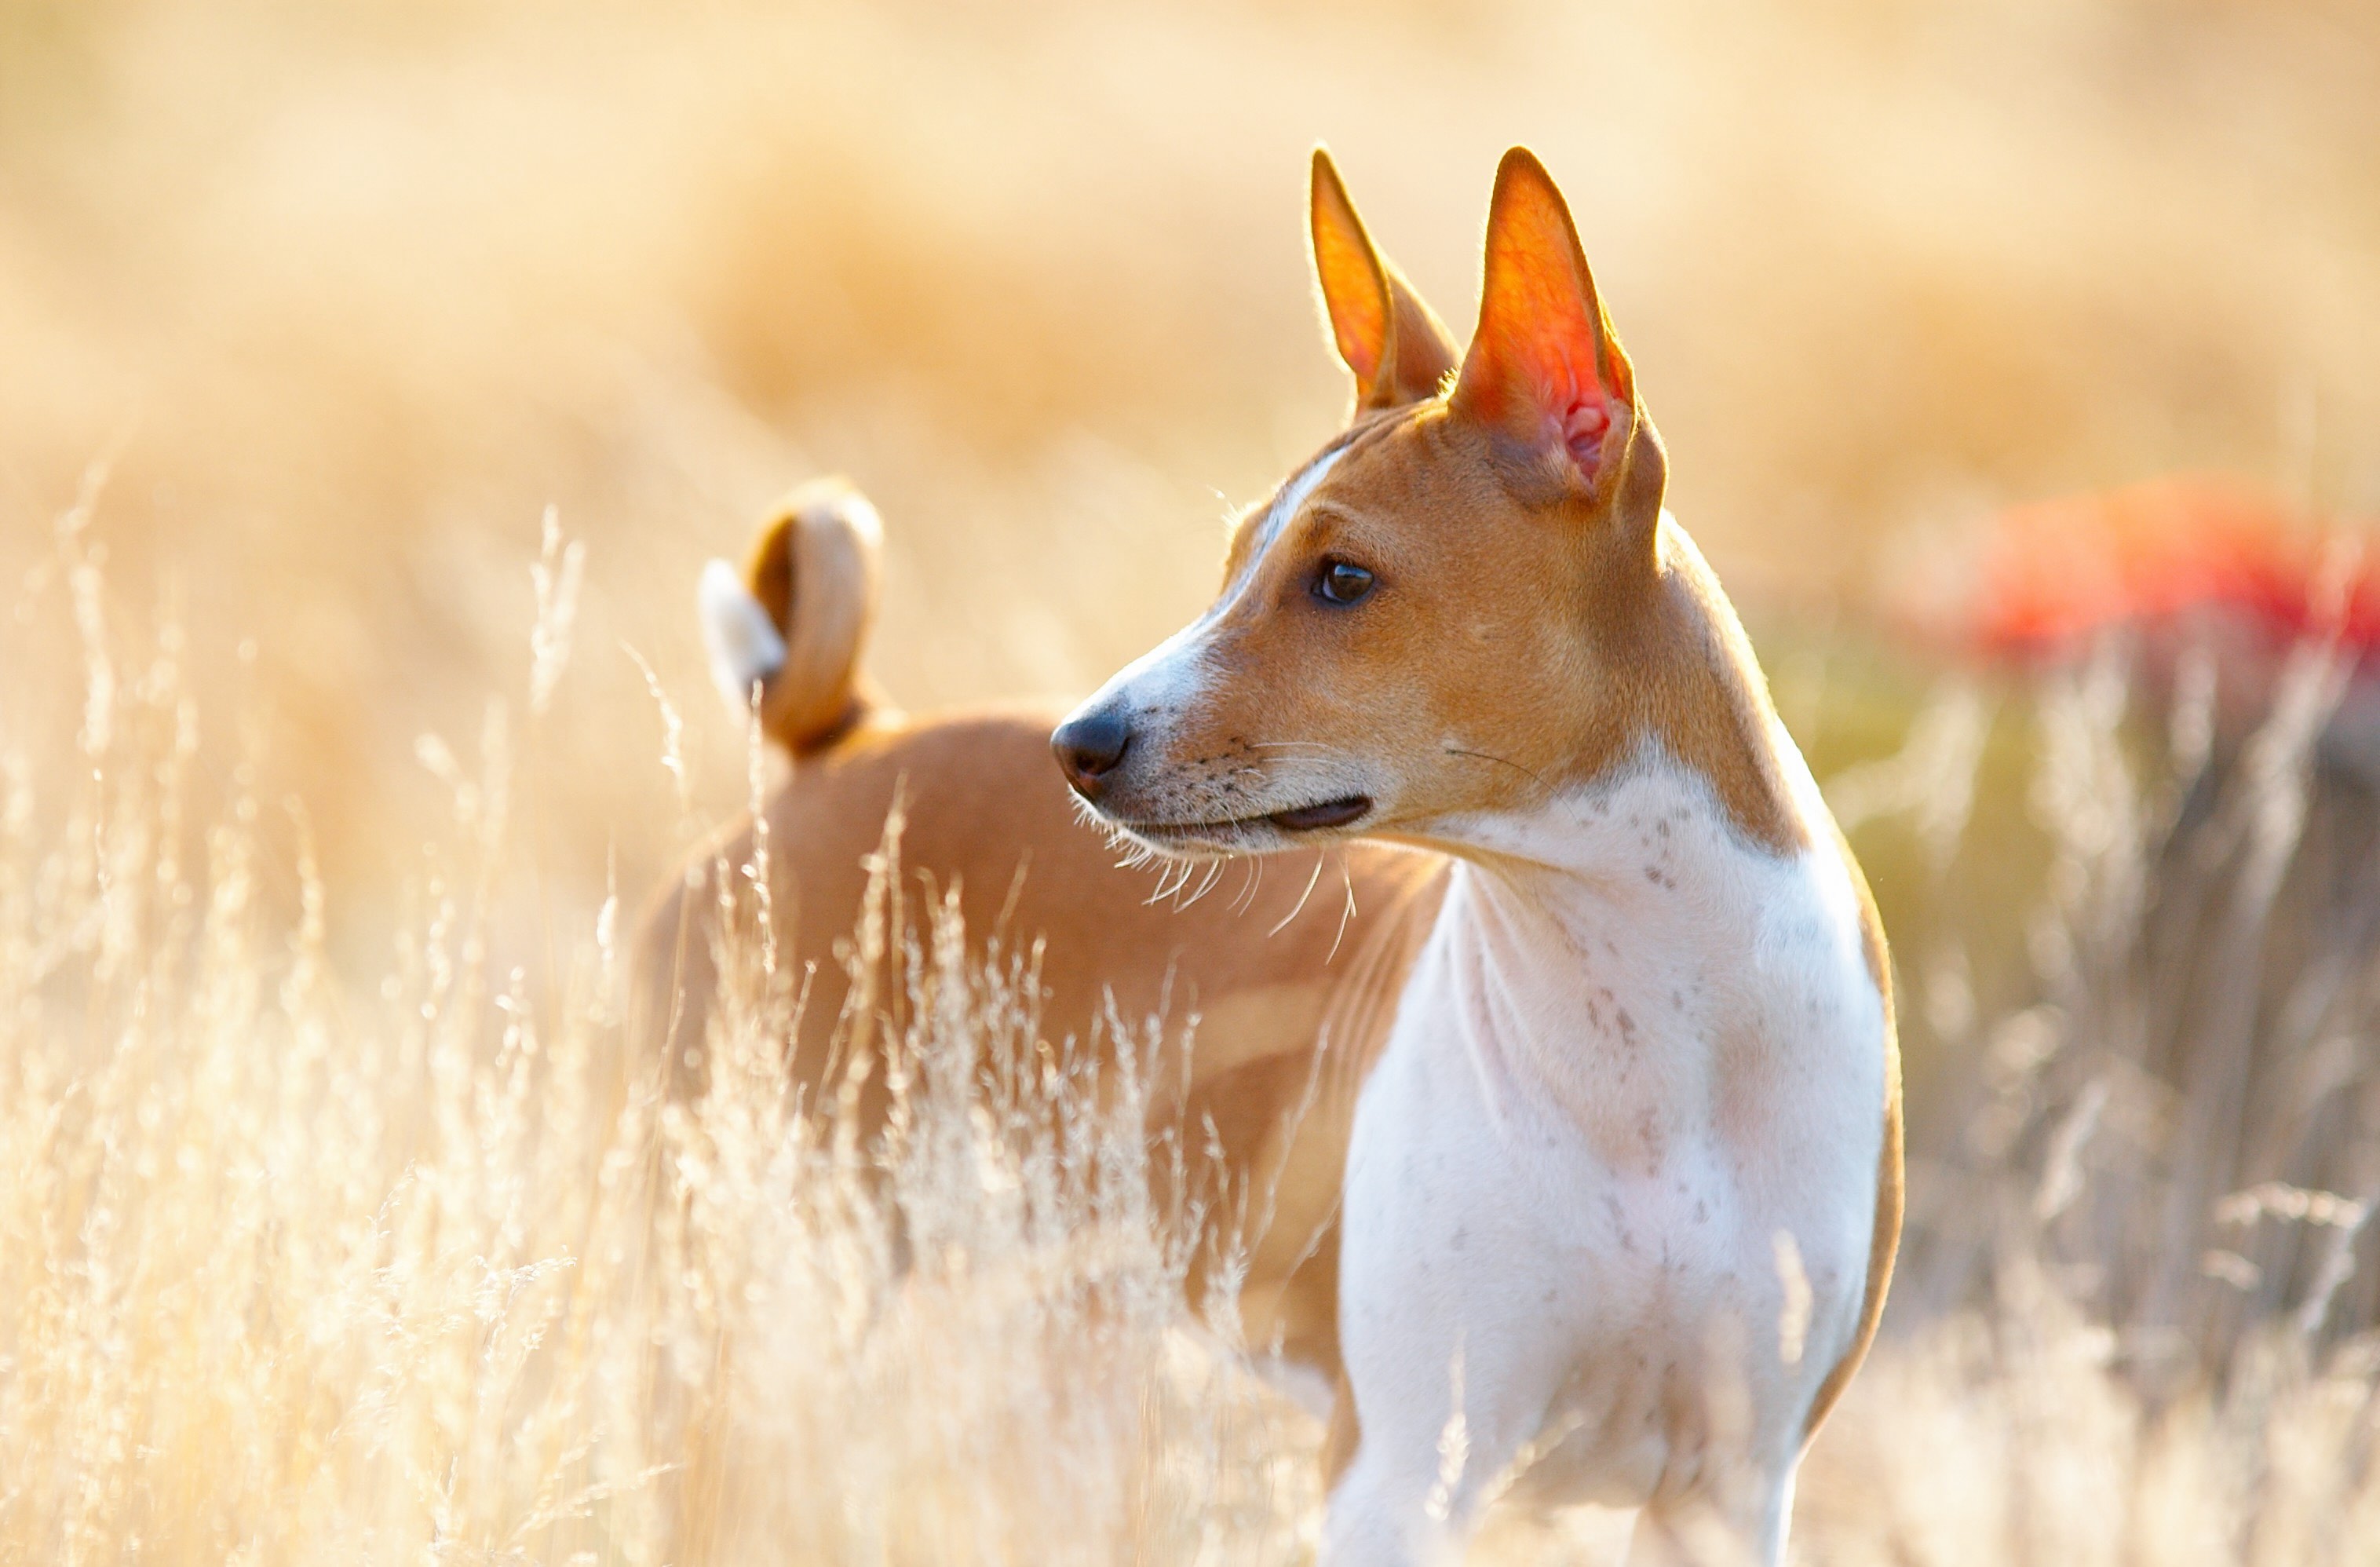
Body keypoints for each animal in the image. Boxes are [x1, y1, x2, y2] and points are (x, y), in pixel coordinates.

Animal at [647, 146, 1894, 1562]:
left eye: (1342, 579)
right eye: (1237, 556)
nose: (1079, 743)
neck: (1647, 1041)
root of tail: (842, 742)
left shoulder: (1727, 1488)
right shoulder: (1399, 1472)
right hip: (749, 1279)